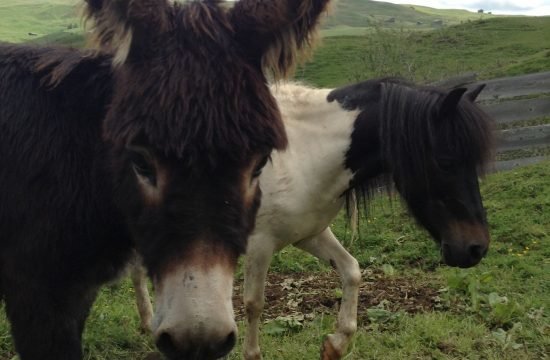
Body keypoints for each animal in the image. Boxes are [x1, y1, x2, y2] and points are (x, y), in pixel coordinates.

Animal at [130, 79, 496, 360]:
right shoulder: (259, 244)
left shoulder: (310, 233)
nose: (476, 248)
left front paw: (336, 344)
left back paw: (150, 324)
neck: (303, 153)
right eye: (446, 161)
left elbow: (352, 272)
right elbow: (254, 303)